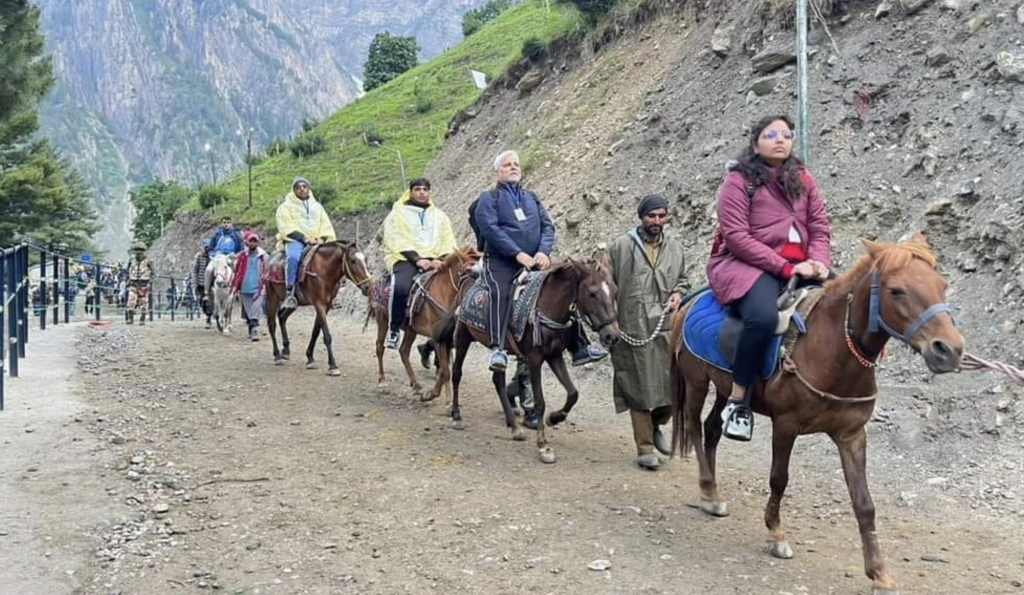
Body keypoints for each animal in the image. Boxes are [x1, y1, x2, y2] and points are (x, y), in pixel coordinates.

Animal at [266, 237, 374, 372]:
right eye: (352, 260)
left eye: (365, 260)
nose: (368, 286)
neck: (324, 270)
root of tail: (270, 261)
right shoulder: (319, 305)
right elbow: (327, 335)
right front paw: (333, 365)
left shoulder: (326, 306)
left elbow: (316, 331)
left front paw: (310, 358)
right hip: (272, 297)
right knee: (272, 324)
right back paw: (277, 356)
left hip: (294, 303)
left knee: (281, 317)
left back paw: (285, 350)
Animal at [368, 243, 479, 401]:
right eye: (473, 272)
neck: (444, 293)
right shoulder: (438, 338)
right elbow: (445, 371)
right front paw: (434, 396)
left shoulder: (447, 338)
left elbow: (445, 371)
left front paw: (443, 398)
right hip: (382, 319)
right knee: (379, 347)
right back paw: (382, 381)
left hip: (411, 329)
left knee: (403, 351)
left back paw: (416, 385)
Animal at [434, 255, 618, 464]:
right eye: (592, 293)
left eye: (614, 291)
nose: (612, 336)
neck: (548, 306)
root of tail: (467, 280)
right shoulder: (535, 359)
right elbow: (540, 402)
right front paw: (543, 445)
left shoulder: (554, 356)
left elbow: (573, 393)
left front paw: (554, 418)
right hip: (463, 337)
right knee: (457, 373)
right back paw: (456, 415)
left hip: (499, 348)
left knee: (497, 380)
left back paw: (514, 426)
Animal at [667, 233, 962, 593]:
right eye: (896, 290)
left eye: (942, 285)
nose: (949, 349)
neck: (833, 352)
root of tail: (688, 302)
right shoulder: (786, 424)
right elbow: (779, 479)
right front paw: (776, 534)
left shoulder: (852, 435)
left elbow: (864, 503)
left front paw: (879, 572)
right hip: (696, 381)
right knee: (695, 428)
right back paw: (709, 490)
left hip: (725, 388)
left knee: (711, 428)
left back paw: (714, 492)